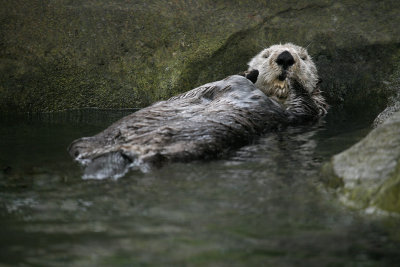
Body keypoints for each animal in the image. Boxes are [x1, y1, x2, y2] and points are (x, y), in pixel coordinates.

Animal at [68, 44, 324, 179]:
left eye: (303, 57)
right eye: (266, 54)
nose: (285, 57)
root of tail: (119, 150)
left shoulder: (310, 112)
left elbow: (303, 105)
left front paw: (294, 82)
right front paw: (250, 73)